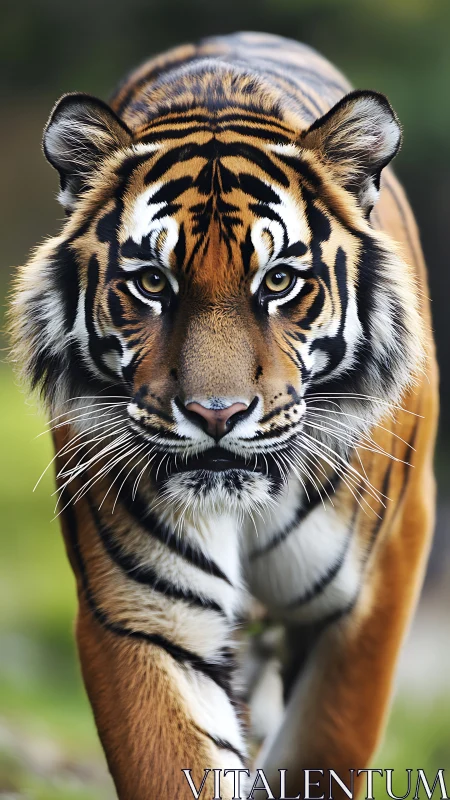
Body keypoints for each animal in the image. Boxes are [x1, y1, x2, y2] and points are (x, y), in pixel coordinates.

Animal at [9, 31, 438, 800]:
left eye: (281, 281)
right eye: (153, 282)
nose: (217, 414)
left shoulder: (375, 587)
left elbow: (326, 746)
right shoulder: (144, 614)